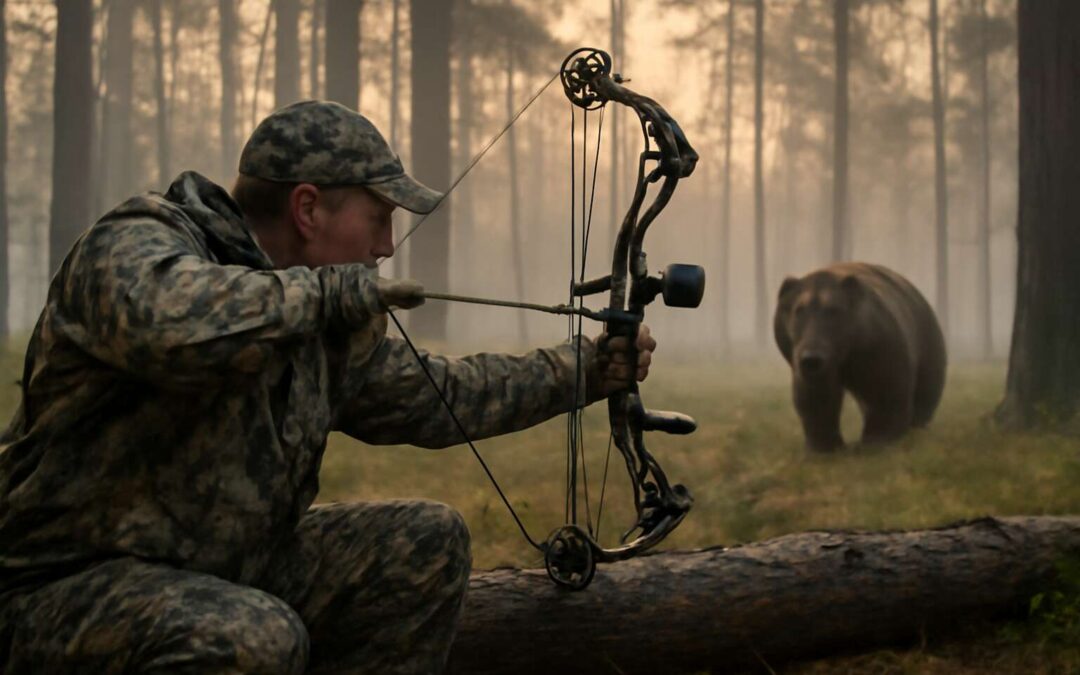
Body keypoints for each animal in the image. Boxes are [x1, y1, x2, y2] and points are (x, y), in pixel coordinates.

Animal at [773, 262, 947, 451]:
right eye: (798, 310)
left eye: (833, 310)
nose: (812, 358)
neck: (845, 352)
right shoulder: (809, 362)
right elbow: (816, 398)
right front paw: (823, 446)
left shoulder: (879, 349)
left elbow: (885, 394)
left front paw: (878, 440)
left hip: (927, 340)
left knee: (926, 390)